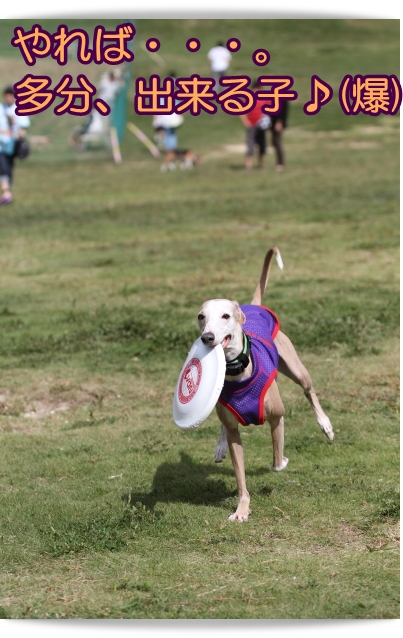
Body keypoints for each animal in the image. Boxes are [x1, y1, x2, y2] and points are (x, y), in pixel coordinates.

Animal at [198, 248, 334, 524]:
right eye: (201, 317)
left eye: (225, 316)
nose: (207, 337)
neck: (238, 374)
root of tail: (254, 305)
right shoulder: (235, 433)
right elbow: (240, 475)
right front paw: (242, 509)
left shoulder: (277, 417)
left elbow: (277, 463)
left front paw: (284, 459)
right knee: (223, 424)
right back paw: (219, 447)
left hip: (295, 368)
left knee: (309, 390)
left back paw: (325, 425)